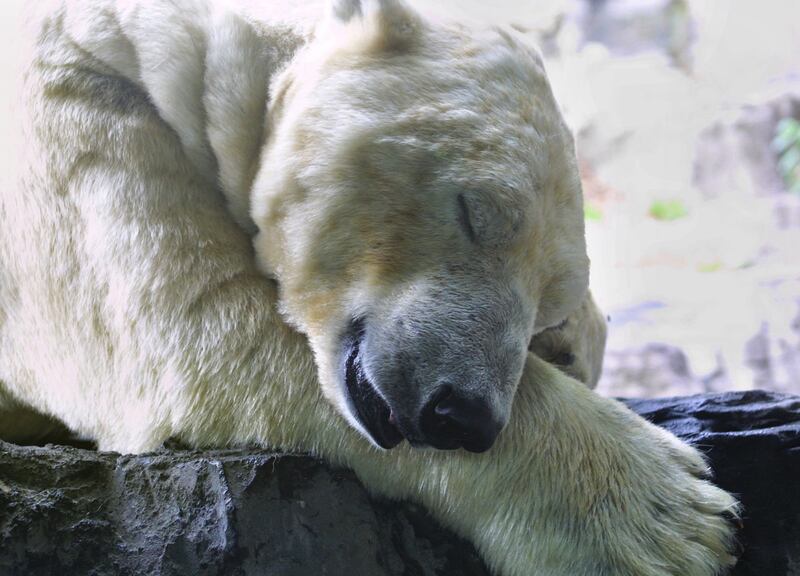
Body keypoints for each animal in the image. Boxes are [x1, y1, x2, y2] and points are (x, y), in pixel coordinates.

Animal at [0, 0, 738, 574]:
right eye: (475, 213)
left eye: (545, 305)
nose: (462, 414)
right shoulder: (74, 106)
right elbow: (194, 326)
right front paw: (670, 520)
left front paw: (573, 346)